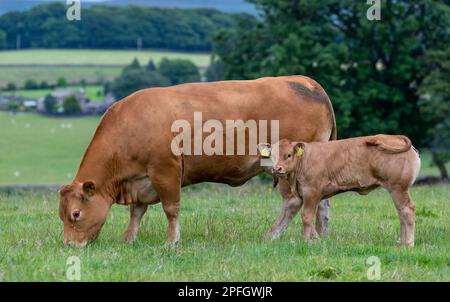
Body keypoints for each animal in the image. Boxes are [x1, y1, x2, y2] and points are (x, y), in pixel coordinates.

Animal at [59, 75, 338, 245]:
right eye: (61, 215)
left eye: (75, 214)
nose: (70, 245)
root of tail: (306, 81)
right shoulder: (141, 180)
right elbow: (136, 211)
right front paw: (129, 238)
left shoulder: (165, 170)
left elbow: (171, 208)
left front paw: (171, 241)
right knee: (320, 202)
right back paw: (322, 236)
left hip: (284, 168)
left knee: (294, 202)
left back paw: (271, 236)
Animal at [260, 136, 422, 247]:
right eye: (272, 156)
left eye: (289, 155)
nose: (277, 168)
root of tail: (396, 137)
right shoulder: (300, 196)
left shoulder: (312, 192)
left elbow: (306, 217)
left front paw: (305, 241)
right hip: (396, 190)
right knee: (401, 212)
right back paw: (401, 243)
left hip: (398, 188)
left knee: (407, 210)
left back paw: (408, 243)